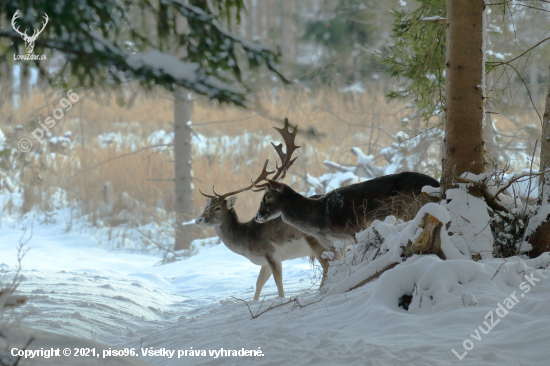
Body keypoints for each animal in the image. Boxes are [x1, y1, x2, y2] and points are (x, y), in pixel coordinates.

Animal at [196, 123, 330, 300]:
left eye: (217, 207)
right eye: (206, 206)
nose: (198, 219)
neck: (245, 241)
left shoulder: (271, 252)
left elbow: (278, 279)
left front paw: (281, 299)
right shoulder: (265, 261)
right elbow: (259, 282)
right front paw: (255, 301)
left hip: (316, 241)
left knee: (328, 265)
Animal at [252, 118, 442, 256]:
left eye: (267, 196)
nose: (257, 217)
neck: (320, 218)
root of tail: (437, 184)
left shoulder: (355, 229)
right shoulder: (336, 243)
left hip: (410, 209)